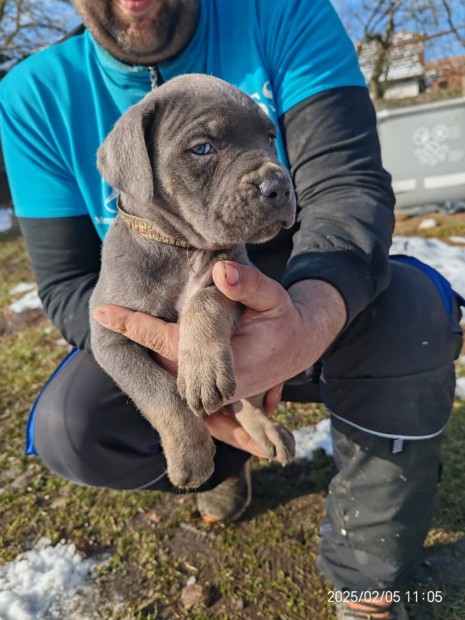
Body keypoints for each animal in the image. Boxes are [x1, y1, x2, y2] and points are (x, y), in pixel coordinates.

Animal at [89, 74, 296, 490]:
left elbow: (206, 299)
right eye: (202, 149)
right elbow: (158, 391)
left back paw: (267, 431)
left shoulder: (235, 279)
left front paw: (202, 373)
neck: (182, 248)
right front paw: (191, 454)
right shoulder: (109, 334)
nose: (279, 185)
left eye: (270, 137)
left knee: (248, 400)